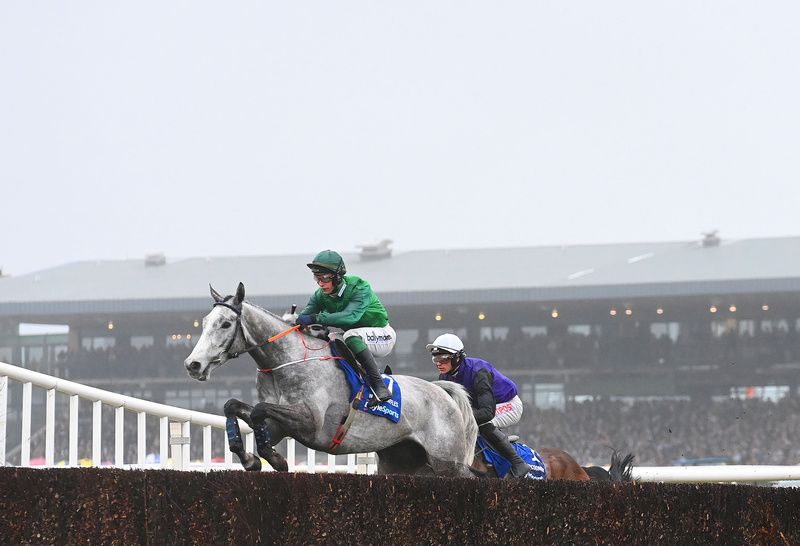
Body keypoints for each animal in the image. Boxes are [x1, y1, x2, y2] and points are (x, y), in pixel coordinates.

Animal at [184, 282, 478, 474]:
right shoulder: (280, 425)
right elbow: (233, 406)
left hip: (447, 462)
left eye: (225, 324)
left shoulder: (311, 423)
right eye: (205, 321)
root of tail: (442, 391)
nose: (193, 365)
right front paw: (249, 457)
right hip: (399, 462)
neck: (286, 363)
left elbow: (258, 411)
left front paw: (274, 460)